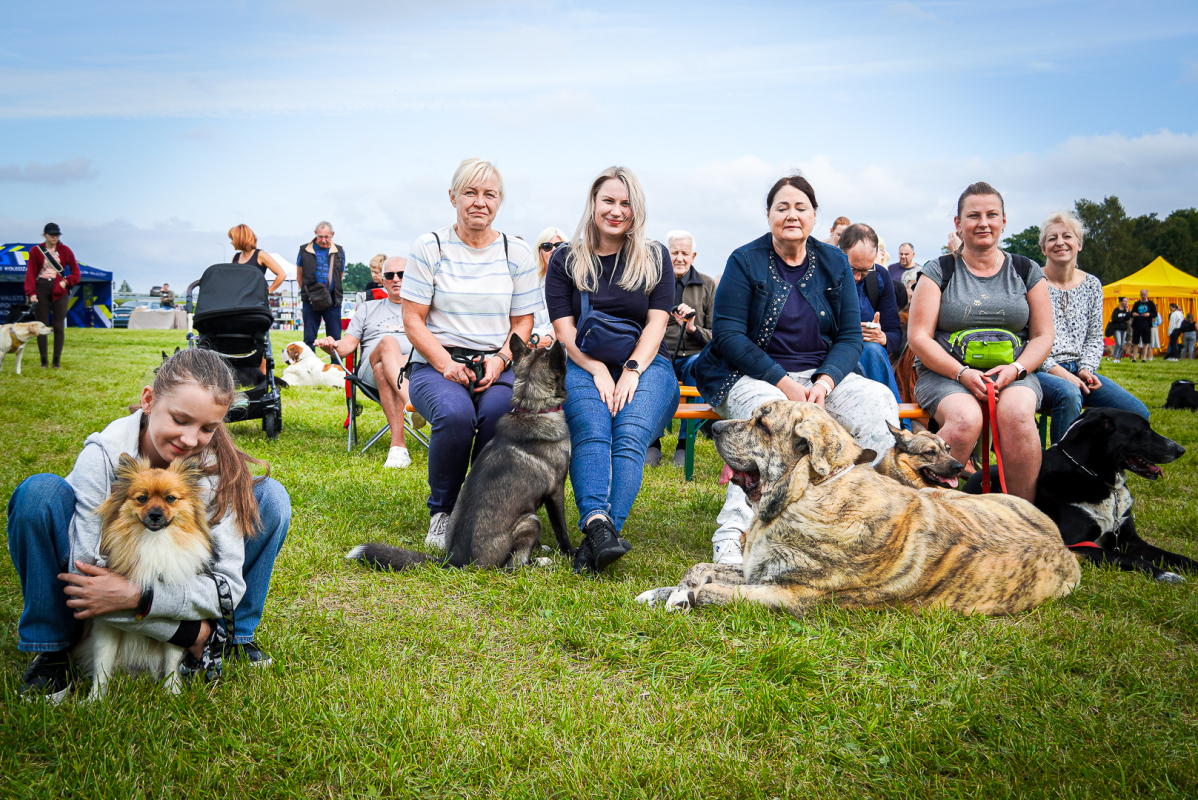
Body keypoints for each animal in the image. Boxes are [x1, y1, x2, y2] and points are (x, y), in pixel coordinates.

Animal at [71, 455, 214, 699]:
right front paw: (95, 699)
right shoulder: (104, 625)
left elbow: (172, 661)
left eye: (170, 498)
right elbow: (102, 663)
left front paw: (173, 692)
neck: (154, 541)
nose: (155, 514)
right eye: (141, 498)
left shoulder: (177, 624)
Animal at [345, 335, 572, 572]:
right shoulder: (555, 491)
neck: (532, 409)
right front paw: (570, 553)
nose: (564, 343)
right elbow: (562, 530)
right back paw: (542, 561)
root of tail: (455, 559)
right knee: (513, 565)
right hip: (530, 521)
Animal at [642, 402, 1082, 617]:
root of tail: (1064, 545)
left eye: (762, 426)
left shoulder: (790, 594)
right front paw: (664, 591)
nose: (713, 428)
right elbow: (699, 569)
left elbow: (710, 591)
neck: (807, 490)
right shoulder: (755, 571)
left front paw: (683, 598)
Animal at [1035, 409, 1193, 584]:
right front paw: (1165, 574)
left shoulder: (1129, 539)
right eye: (1144, 430)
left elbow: (1175, 557)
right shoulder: (1073, 545)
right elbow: (1130, 558)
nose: (1181, 450)